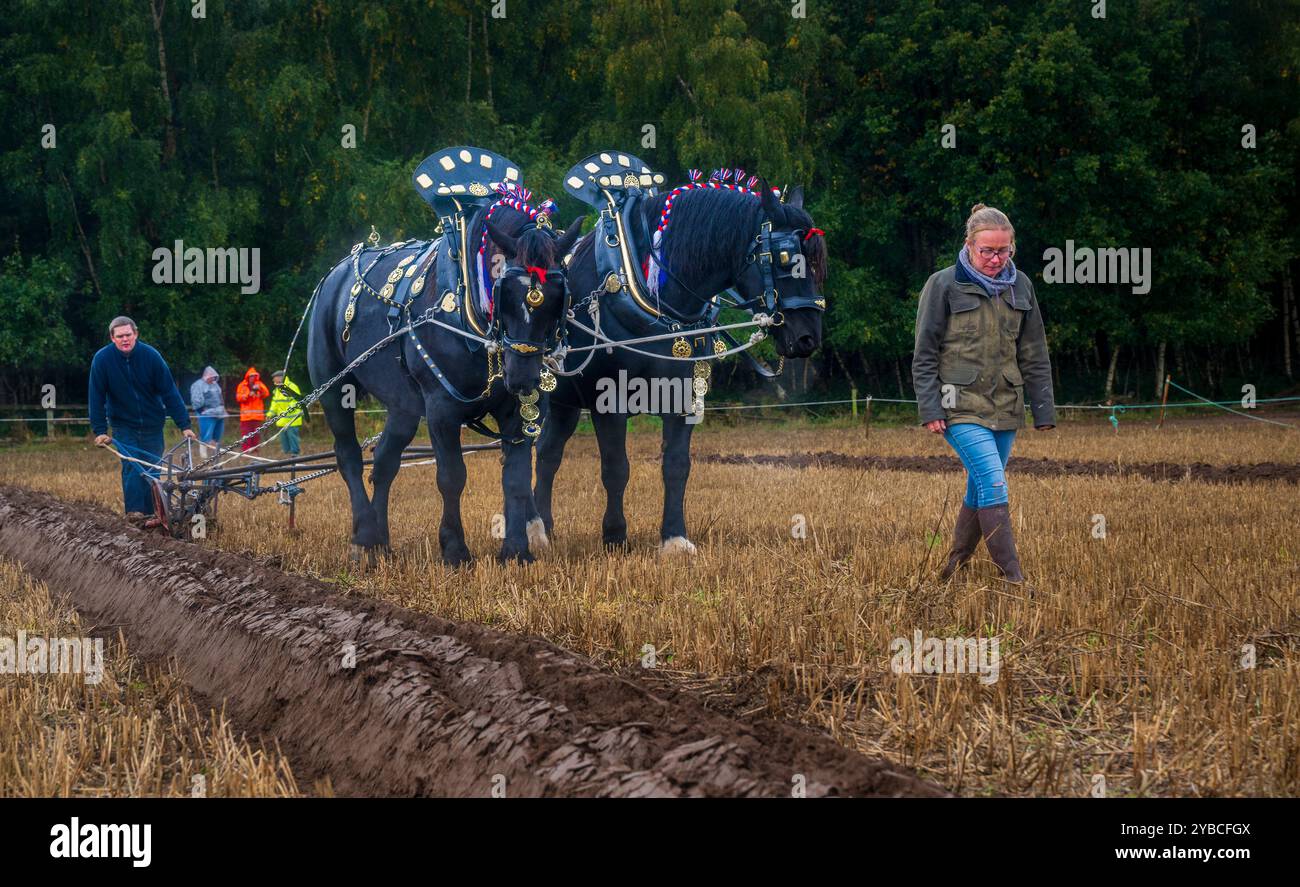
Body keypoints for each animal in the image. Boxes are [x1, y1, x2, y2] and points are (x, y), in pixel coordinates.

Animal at [307, 195, 582, 567]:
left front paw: (516, 550)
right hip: (334, 386)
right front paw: (454, 549)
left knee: (384, 461)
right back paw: (364, 537)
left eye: (558, 296)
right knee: (348, 455)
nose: (522, 377)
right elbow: (452, 476)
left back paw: (380, 540)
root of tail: (333, 276)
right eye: (504, 292)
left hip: (403, 406)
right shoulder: (441, 407)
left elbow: (517, 478)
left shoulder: (520, 410)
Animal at [532, 174, 827, 554]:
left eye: (819, 263)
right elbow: (616, 468)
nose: (807, 337)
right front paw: (615, 536)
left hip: (565, 401)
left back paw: (544, 527)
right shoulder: (607, 400)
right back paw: (534, 528)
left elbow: (676, 466)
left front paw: (674, 538)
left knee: (548, 454)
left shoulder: (684, 395)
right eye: (786, 258)